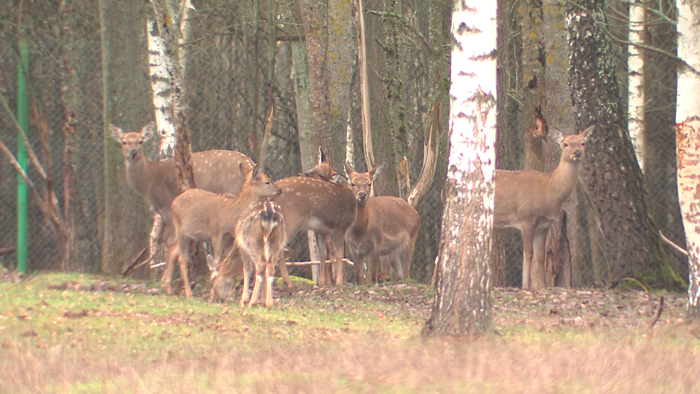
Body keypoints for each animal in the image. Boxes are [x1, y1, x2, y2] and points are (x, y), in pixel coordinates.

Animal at [108, 121, 253, 294]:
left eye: (140, 141)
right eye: (124, 141)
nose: (133, 152)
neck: (150, 181)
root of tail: (250, 163)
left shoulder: (167, 205)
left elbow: (169, 242)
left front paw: (164, 281)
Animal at [168, 165, 280, 298]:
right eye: (267, 181)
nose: (279, 190)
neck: (230, 215)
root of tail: (173, 202)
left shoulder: (230, 238)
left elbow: (226, 259)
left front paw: (228, 291)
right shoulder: (216, 233)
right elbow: (217, 260)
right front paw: (214, 291)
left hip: (190, 235)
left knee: (173, 251)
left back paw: (167, 287)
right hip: (180, 230)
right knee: (182, 258)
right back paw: (188, 292)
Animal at [492, 125, 592, 290]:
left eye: (583, 143)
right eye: (565, 144)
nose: (577, 152)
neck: (547, 192)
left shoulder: (544, 224)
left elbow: (540, 256)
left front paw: (543, 287)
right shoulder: (526, 217)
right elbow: (528, 254)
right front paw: (526, 286)